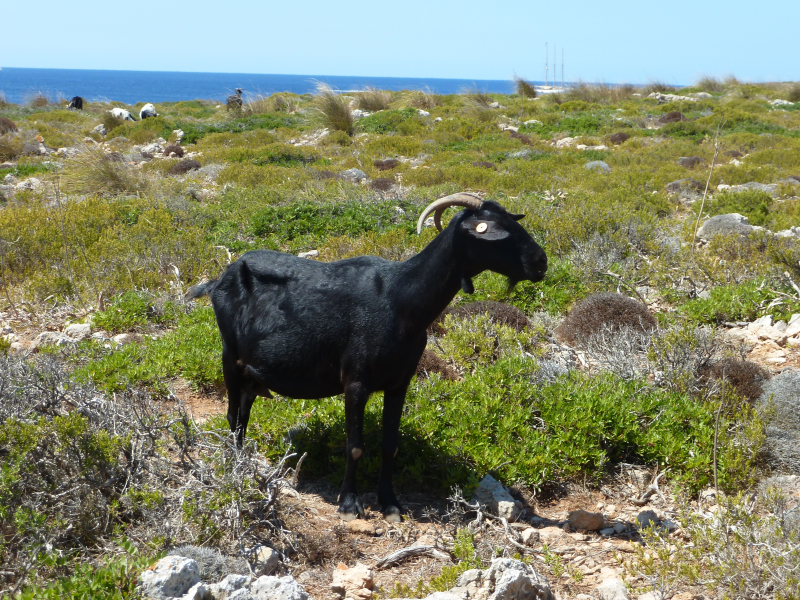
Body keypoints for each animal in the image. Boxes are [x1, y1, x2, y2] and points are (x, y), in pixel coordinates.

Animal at [186, 192, 547, 522]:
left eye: (514, 220)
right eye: (494, 230)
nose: (540, 262)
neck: (400, 300)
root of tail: (219, 279)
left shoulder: (400, 382)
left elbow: (390, 445)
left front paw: (390, 504)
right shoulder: (356, 381)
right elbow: (355, 445)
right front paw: (349, 504)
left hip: (251, 371)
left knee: (244, 413)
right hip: (230, 357)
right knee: (233, 417)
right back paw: (237, 470)